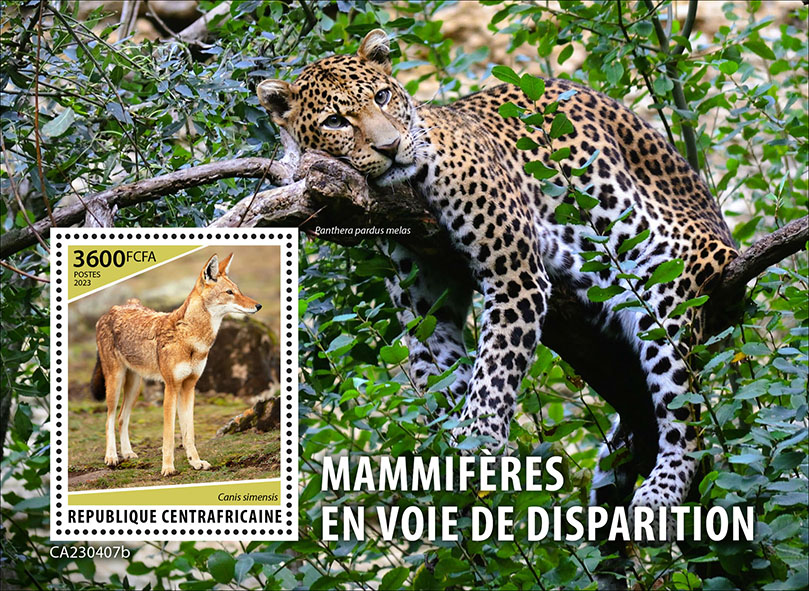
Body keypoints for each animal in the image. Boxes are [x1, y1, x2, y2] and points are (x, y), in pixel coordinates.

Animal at [91, 253, 261, 476]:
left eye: (238, 290)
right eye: (229, 292)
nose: (258, 306)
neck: (191, 339)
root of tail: (113, 309)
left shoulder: (189, 387)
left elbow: (189, 433)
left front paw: (195, 462)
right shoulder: (171, 387)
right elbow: (169, 434)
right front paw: (168, 467)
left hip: (134, 386)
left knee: (121, 418)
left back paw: (127, 453)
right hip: (115, 382)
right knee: (109, 419)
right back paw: (111, 457)